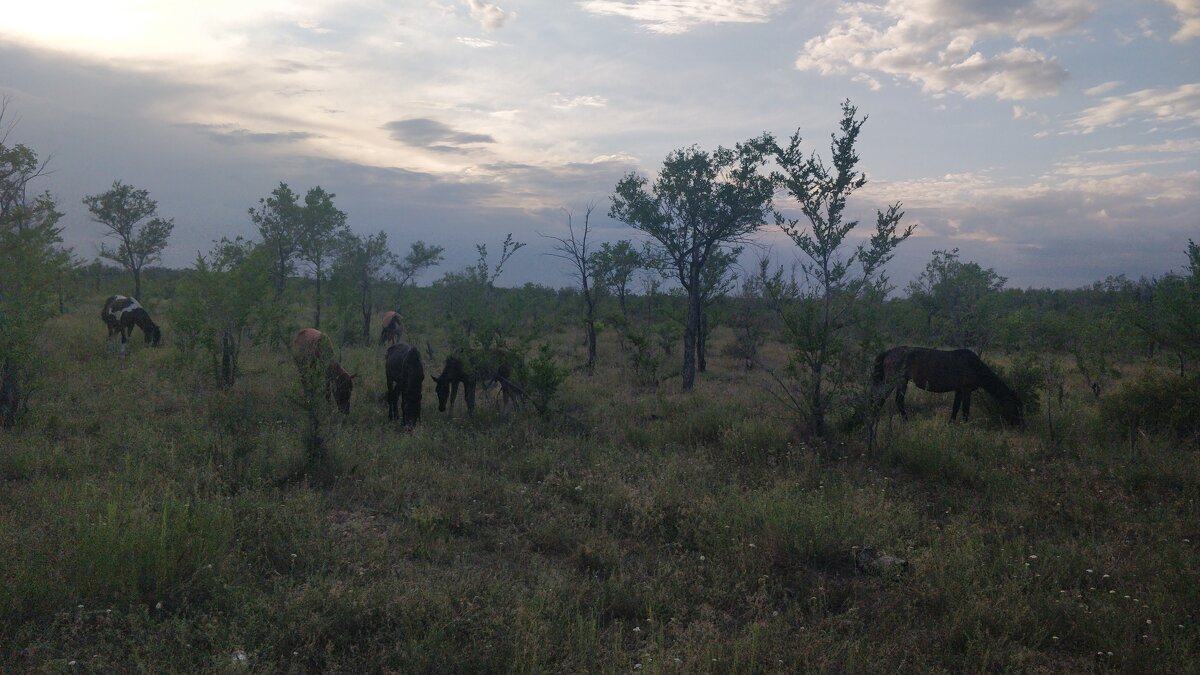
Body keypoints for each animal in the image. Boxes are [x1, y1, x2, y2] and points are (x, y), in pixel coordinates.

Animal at [873, 343, 1022, 422]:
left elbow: (955, 408)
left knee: (886, 399)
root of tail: (888, 352)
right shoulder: (966, 389)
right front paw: (965, 427)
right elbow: (965, 410)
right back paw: (904, 422)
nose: (1021, 424)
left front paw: (951, 424)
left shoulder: (959, 390)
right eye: (1016, 406)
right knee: (889, 400)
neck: (976, 367)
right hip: (896, 381)